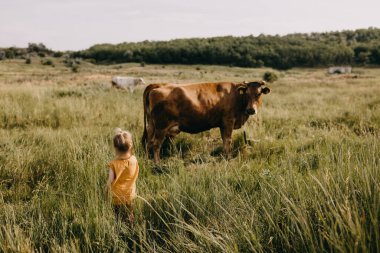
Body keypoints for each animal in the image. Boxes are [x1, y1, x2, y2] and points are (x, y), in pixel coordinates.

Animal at [142, 82, 270, 163]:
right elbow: (228, 140)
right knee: (155, 144)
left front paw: (224, 155)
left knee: (148, 142)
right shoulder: (228, 121)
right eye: (247, 93)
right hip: (161, 127)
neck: (236, 96)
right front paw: (227, 157)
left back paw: (147, 160)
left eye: (259, 93)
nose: (251, 109)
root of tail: (157, 85)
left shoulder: (222, 124)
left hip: (151, 125)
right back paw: (157, 163)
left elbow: (224, 140)